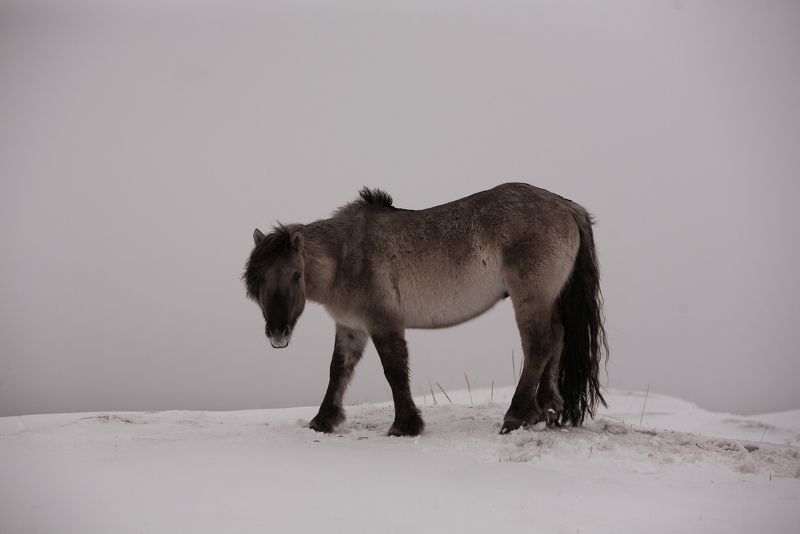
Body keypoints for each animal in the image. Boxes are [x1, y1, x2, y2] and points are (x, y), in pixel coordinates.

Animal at [244, 183, 607, 436]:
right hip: (548, 299)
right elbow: (338, 371)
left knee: (539, 345)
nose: (277, 333)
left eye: (296, 274)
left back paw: (516, 416)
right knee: (557, 339)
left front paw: (404, 425)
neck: (346, 255)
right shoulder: (351, 327)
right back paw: (549, 408)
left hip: (530, 297)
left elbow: (394, 370)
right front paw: (323, 421)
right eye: (258, 280)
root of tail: (565, 205)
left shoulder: (383, 322)